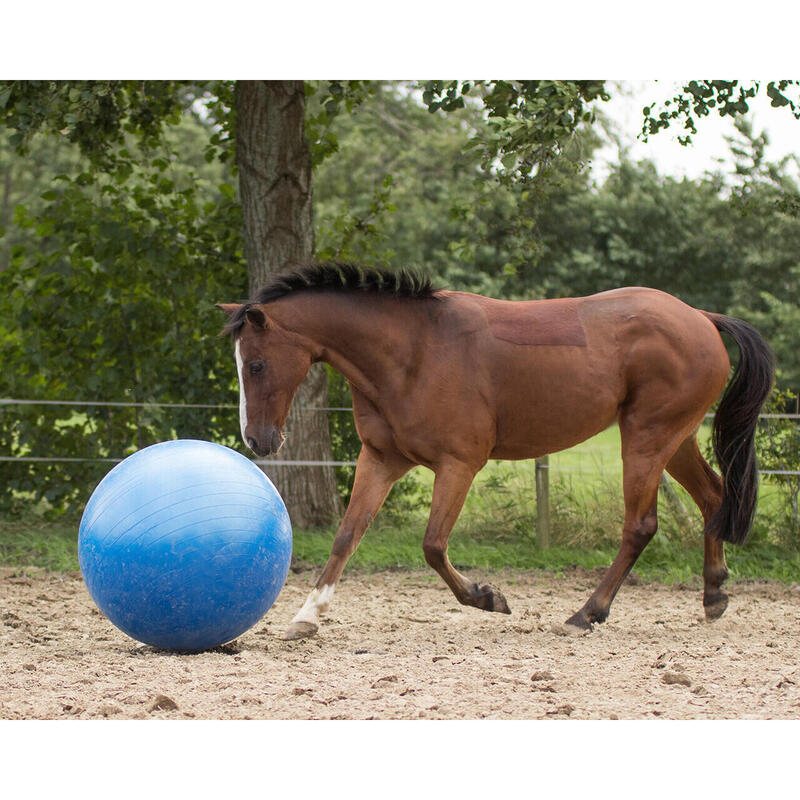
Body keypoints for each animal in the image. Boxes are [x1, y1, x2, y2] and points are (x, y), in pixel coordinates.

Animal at [217, 262, 776, 636]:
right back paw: (714, 595)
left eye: (257, 365)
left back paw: (585, 614)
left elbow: (433, 545)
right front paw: (306, 616)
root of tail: (701, 318)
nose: (258, 441)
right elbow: (346, 536)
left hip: (645, 439)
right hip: (673, 439)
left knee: (640, 526)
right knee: (713, 498)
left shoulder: (459, 465)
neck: (412, 353)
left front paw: (488, 598)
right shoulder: (380, 460)